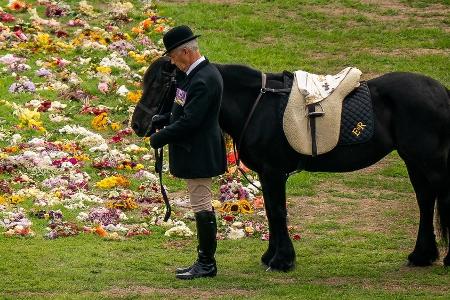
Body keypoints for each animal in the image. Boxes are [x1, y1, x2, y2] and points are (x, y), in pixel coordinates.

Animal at [131, 56, 450, 270]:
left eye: (161, 82)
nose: (138, 124)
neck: (256, 104)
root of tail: (441, 92)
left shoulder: (274, 171)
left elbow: (277, 211)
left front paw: (282, 260)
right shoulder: (267, 173)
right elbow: (273, 212)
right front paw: (272, 256)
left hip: (430, 163)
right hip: (414, 161)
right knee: (425, 201)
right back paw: (422, 255)